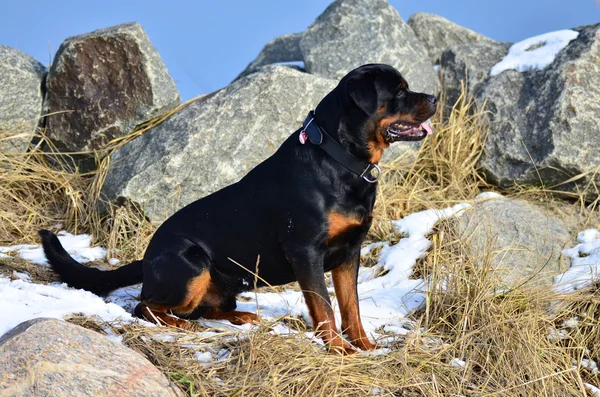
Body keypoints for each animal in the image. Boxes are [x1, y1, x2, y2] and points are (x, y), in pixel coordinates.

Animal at [41, 64, 436, 352]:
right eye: (400, 92)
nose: (434, 96)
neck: (340, 158)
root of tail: (147, 258)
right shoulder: (305, 250)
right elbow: (324, 306)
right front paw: (339, 349)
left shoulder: (349, 253)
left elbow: (351, 307)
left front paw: (365, 346)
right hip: (192, 265)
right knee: (146, 306)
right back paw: (178, 323)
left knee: (208, 308)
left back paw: (244, 317)